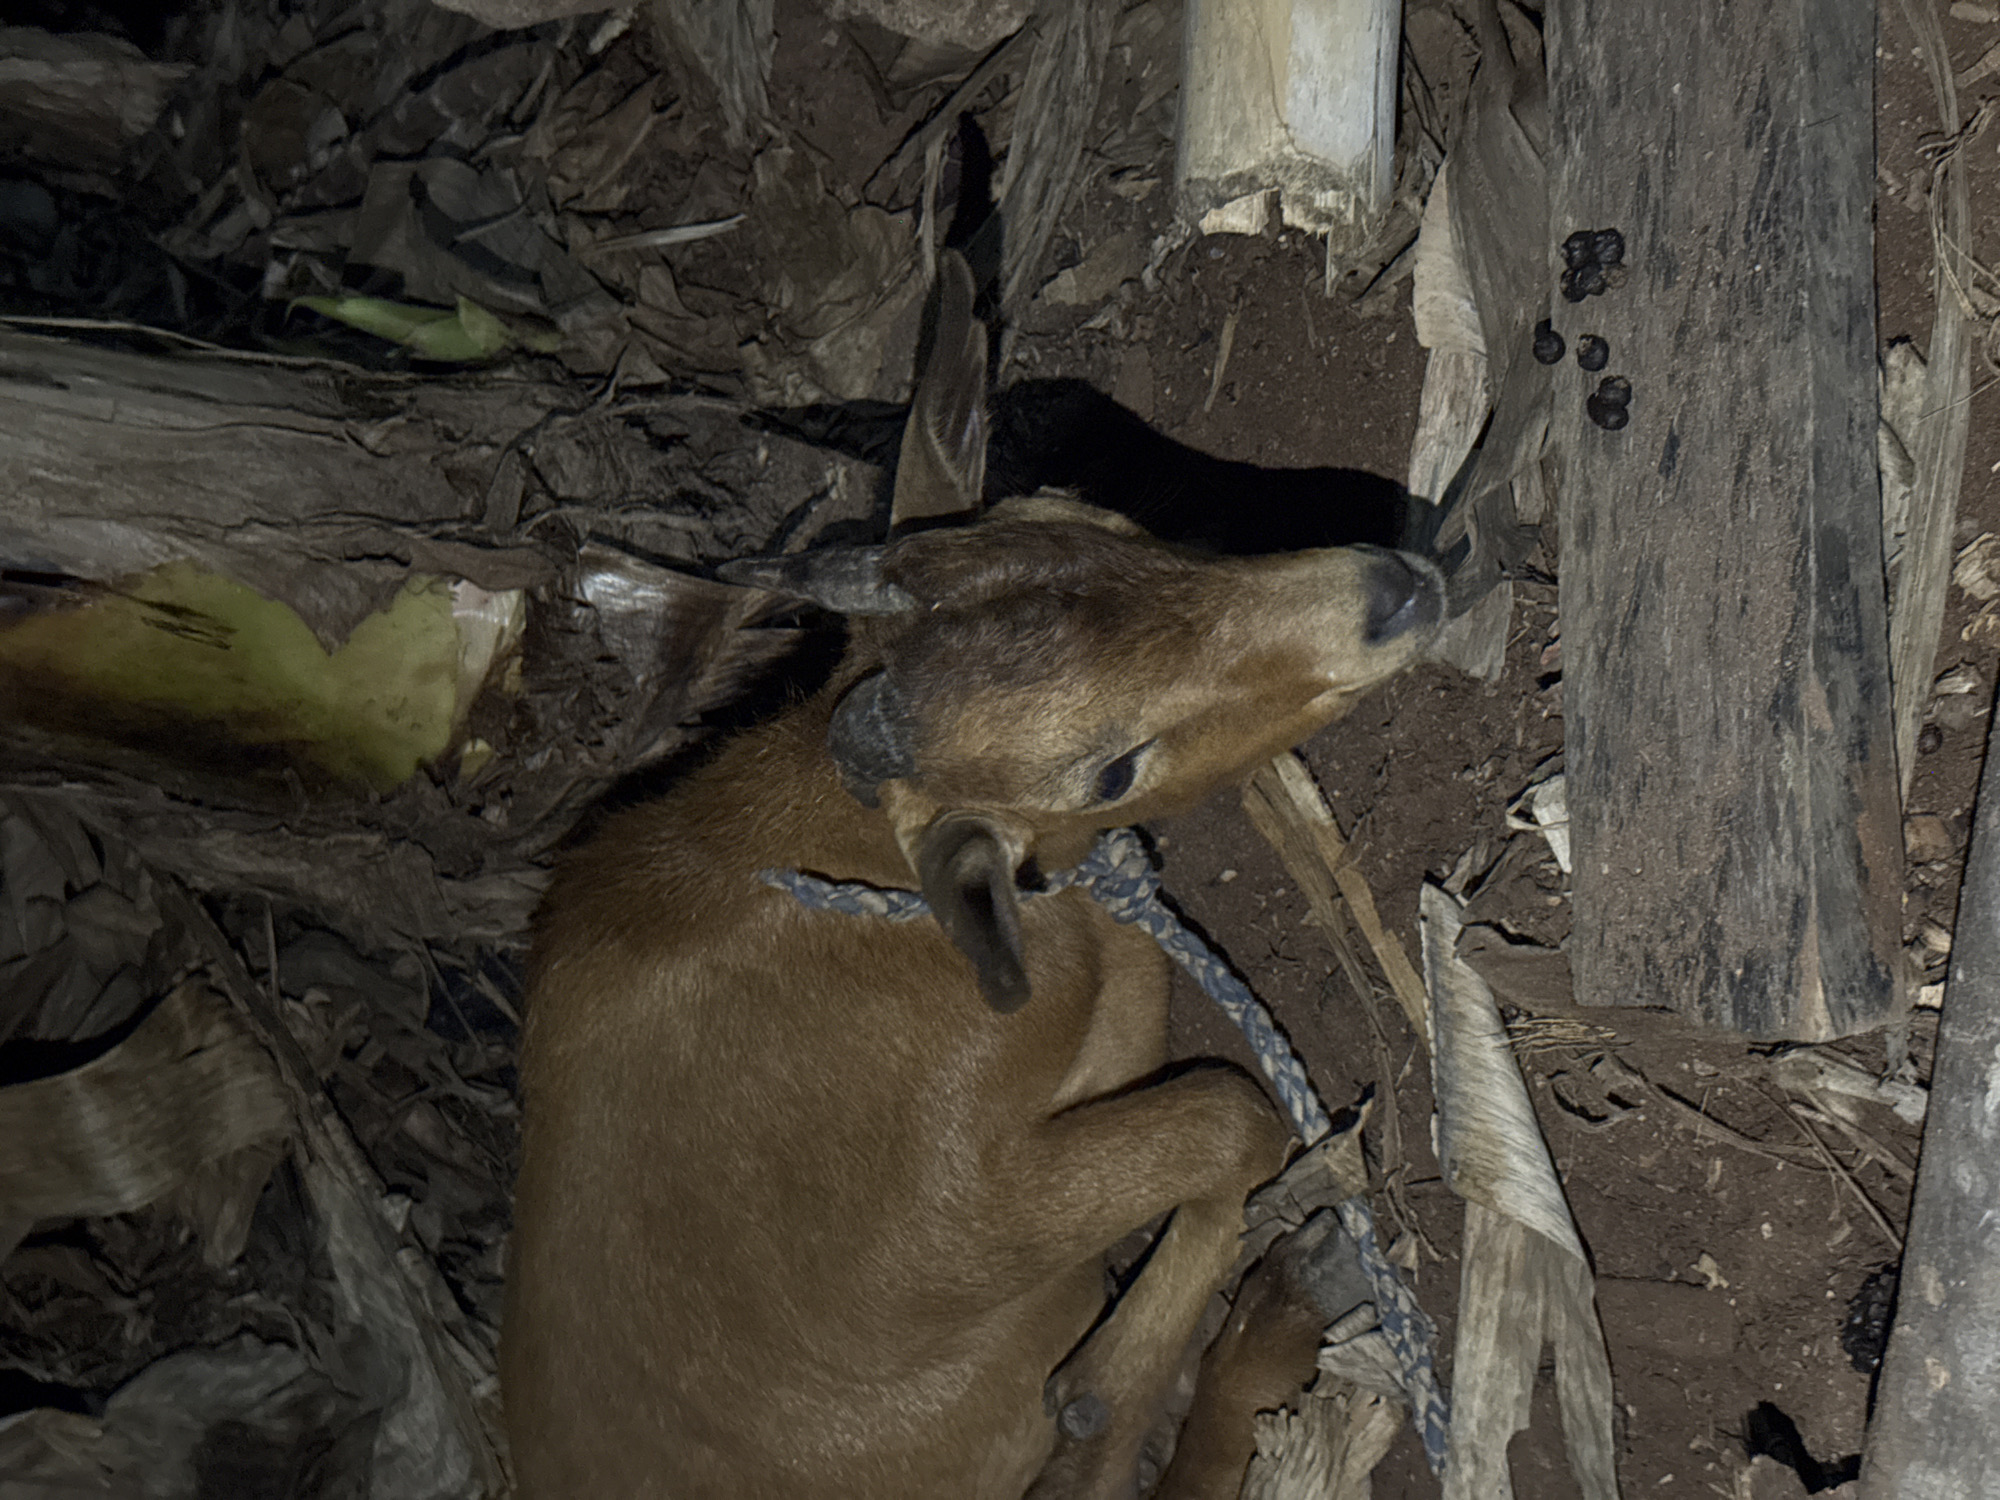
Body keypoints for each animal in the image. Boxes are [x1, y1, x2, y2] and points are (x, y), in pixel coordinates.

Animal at [500, 247, 1444, 1499]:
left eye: (1104, 524)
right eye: (1109, 765)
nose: (1396, 592)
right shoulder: (970, 1218)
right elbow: (1230, 1118)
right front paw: (1120, 1369)